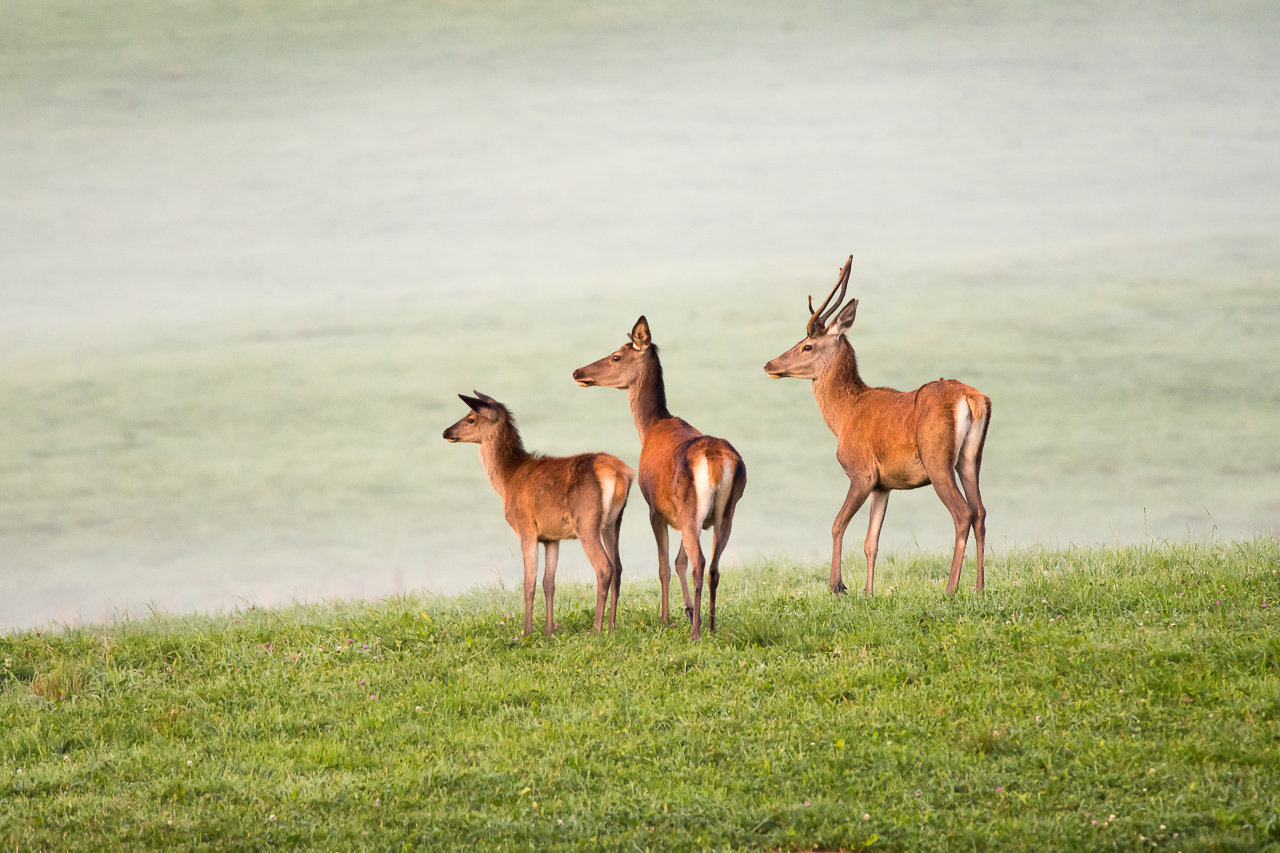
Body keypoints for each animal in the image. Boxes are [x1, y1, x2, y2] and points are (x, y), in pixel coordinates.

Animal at [442, 391, 634, 637]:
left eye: (470, 418)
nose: (446, 432)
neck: (507, 480)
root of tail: (620, 473)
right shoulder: (552, 537)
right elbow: (549, 582)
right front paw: (549, 631)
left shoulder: (526, 530)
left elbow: (529, 582)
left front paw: (526, 632)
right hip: (613, 522)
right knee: (618, 566)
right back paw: (611, 626)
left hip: (586, 521)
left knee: (604, 567)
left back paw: (596, 629)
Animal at [572, 316, 747, 640]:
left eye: (616, 356)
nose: (578, 371)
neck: (651, 426)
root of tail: (717, 461)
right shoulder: (679, 512)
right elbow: (678, 561)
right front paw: (687, 610)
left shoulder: (655, 508)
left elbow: (664, 566)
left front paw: (666, 619)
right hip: (726, 511)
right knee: (714, 565)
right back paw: (712, 626)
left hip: (692, 507)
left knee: (700, 562)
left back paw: (696, 633)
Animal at [763, 256, 991, 596]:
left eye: (806, 346)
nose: (769, 364)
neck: (844, 416)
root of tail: (972, 399)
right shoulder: (884, 484)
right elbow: (871, 541)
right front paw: (868, 591)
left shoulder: (862, 471)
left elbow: (837, 524)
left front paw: (838, 585)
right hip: (970, 458)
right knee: (981, 512)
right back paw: (979, 588)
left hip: (937, 458)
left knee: (963, 513)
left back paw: (951, 589)